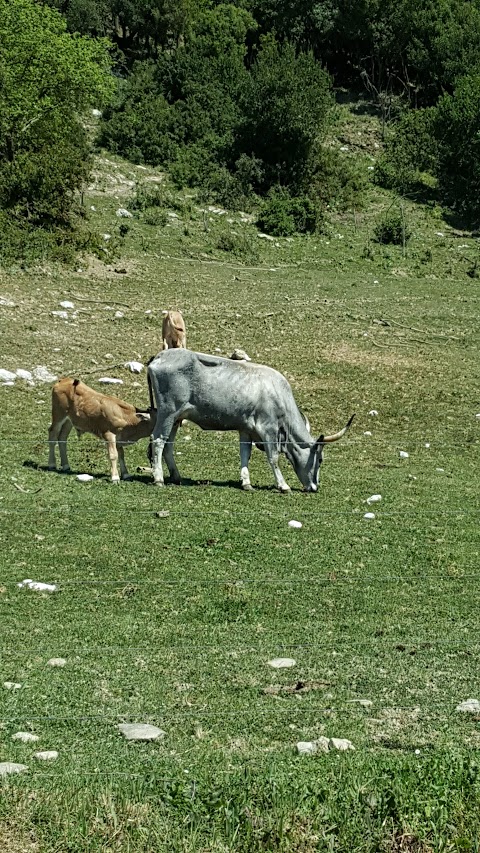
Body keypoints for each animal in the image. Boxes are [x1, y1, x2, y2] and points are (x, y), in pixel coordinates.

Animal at [148, 348, 354, 492]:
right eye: (320, 459)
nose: (314, 487)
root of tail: (159, 356)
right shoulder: (268, 429)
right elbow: (273, 457)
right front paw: (283, 485)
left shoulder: (246, 429)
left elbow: (245, 454)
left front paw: (246, 483)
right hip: (168, 413)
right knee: (158, 441)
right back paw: (158, 478)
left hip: (176, 418)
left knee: (168, 444)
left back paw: (175, 476)